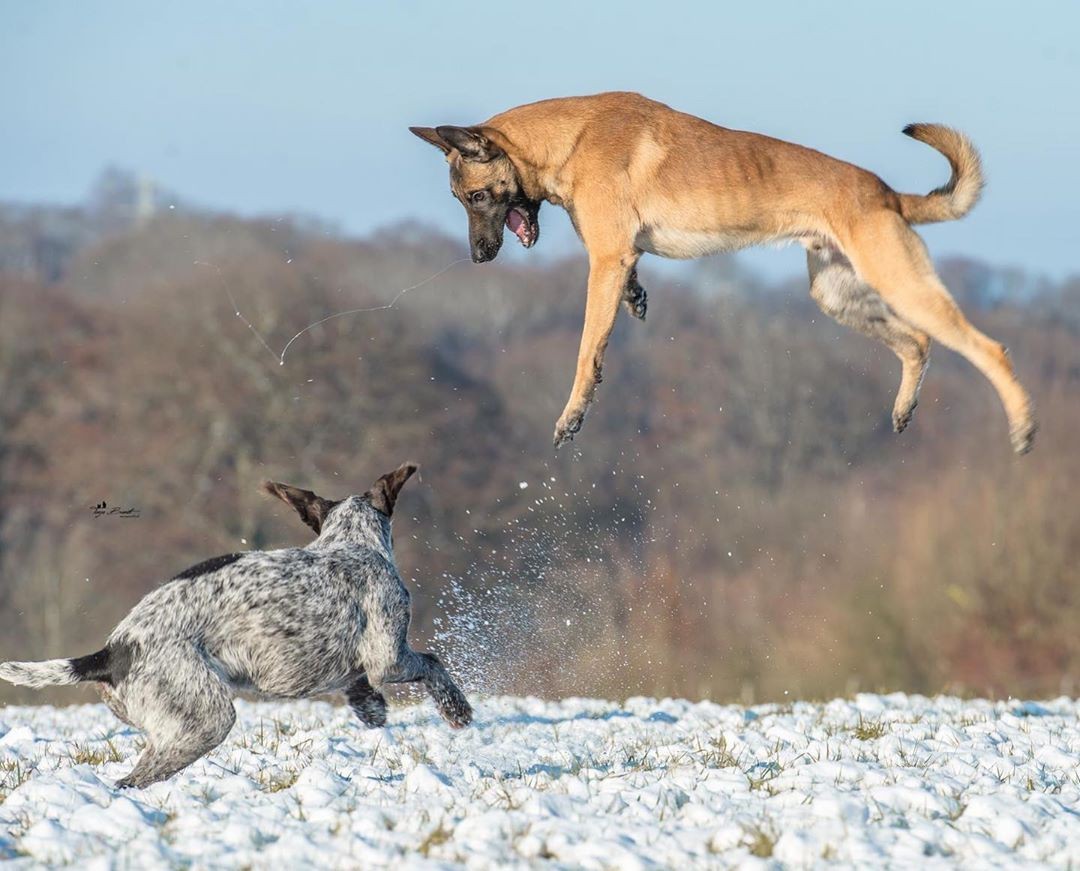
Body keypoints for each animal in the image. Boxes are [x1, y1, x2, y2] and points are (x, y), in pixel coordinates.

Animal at [0, 464, 473, 791]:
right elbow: (433, 663)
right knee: (135, 779)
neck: (350, 541)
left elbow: (361, 688)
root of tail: (111, 651)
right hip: (207, 718)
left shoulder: (361, 665)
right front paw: (458, 710)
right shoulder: (388, 657)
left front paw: (372, 710)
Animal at [410, 91, 1036, 453]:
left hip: (900, 284)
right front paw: (636, 299)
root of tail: (885, 194)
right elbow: (622, 300)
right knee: (918, 344)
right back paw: (905, 409)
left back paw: (1023, 428)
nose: (478, 257)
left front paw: (573, 414)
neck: (569, 138)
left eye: (476, 197)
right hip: (837, 296)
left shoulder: (603, 262)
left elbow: (587, 349)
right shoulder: (618, 259)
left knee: (989, 349)